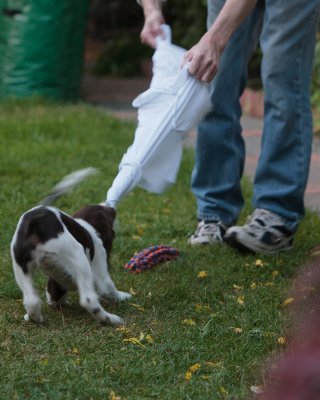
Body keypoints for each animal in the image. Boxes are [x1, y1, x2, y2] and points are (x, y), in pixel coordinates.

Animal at [10, 169, 130, 324]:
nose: (110, 207)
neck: (88, 226)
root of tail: (36, 221)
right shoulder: (100, 267)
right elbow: (109, 288)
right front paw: (124, 296)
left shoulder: (55, 281)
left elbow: (53, 294)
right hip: (77, 257)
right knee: (88, 300)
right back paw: (111, 319)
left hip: (20, 266)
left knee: (31, 300)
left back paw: (34, 318)